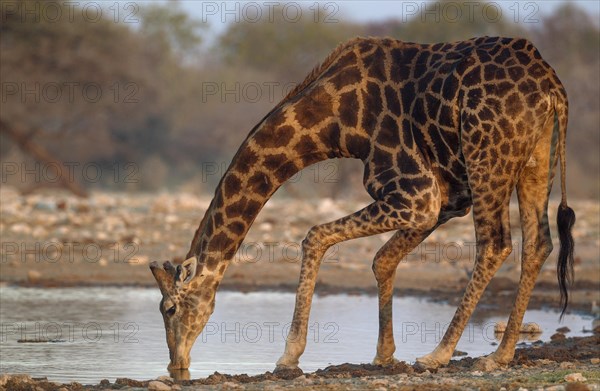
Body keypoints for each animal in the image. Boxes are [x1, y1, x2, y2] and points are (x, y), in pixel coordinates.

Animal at [148, 36, 576, 374]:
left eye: (169, 309)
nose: (176, 363)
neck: (334, 123)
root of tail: (551, 86)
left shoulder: (417, 194)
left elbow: (315, 236)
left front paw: (289, 355)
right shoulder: (445, 200)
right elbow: (381, 260)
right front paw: (384, 354)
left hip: (487, 156)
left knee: (495, 243)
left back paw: (438, 354)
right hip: (535, 158)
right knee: (538, 243)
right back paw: (499, 356)